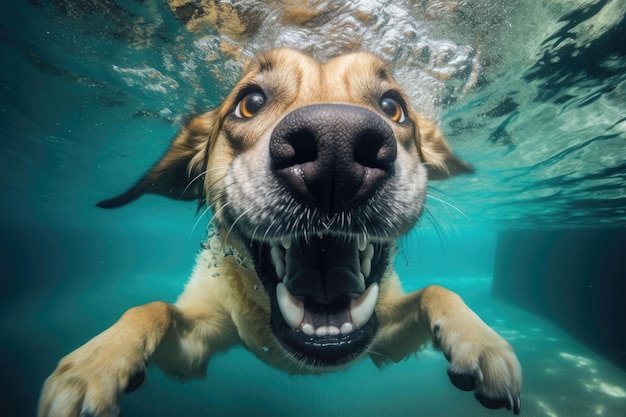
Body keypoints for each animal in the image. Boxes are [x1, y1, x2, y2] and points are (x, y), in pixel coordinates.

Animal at [36, 48, 520, 412]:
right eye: (250, 102)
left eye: (392, 106)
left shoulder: (385, 341)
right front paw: (97, 363)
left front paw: (483, 342)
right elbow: (152, 308)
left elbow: (438, 290)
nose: (335, 150)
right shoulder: (193, 348)